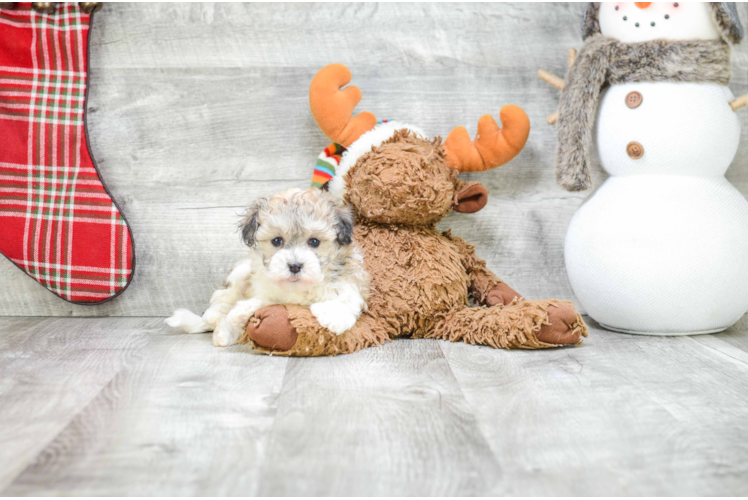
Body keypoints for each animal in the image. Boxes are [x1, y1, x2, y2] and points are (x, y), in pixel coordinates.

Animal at [167, 188, 372, 348]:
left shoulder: (351, 274)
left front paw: (335, 314)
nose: (295, 266)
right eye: (277, 241)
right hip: (241, 270)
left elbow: (347, 293)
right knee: (224, 296)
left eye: (314, 241)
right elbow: (260, 300)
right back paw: (216, 316)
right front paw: (235, 318)